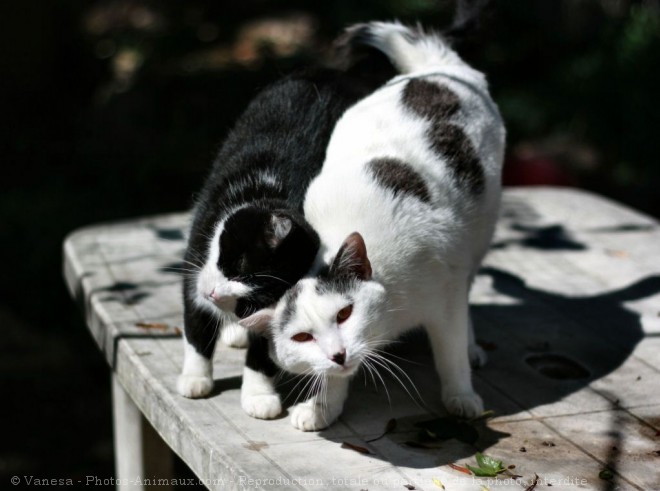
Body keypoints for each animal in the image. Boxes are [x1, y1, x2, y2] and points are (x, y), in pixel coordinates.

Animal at [177, 33, 398, 400]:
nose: (215, 294)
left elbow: (269, 341)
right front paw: (195, 376)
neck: (267, 191)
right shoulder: (200, 245)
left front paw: (258, 394)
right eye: (236, 265)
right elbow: (196, 321)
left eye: (253, 300)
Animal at [241, 22, 506, 430]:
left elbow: (450, 353)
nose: (337, 353)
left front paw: (461, 396)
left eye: (344, 314)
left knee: (468, 285)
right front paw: (322, 408)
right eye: (303, 337)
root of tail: (435, 69)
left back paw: (472, 347)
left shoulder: (445, 298)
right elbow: (334, 381)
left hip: (478, 231)